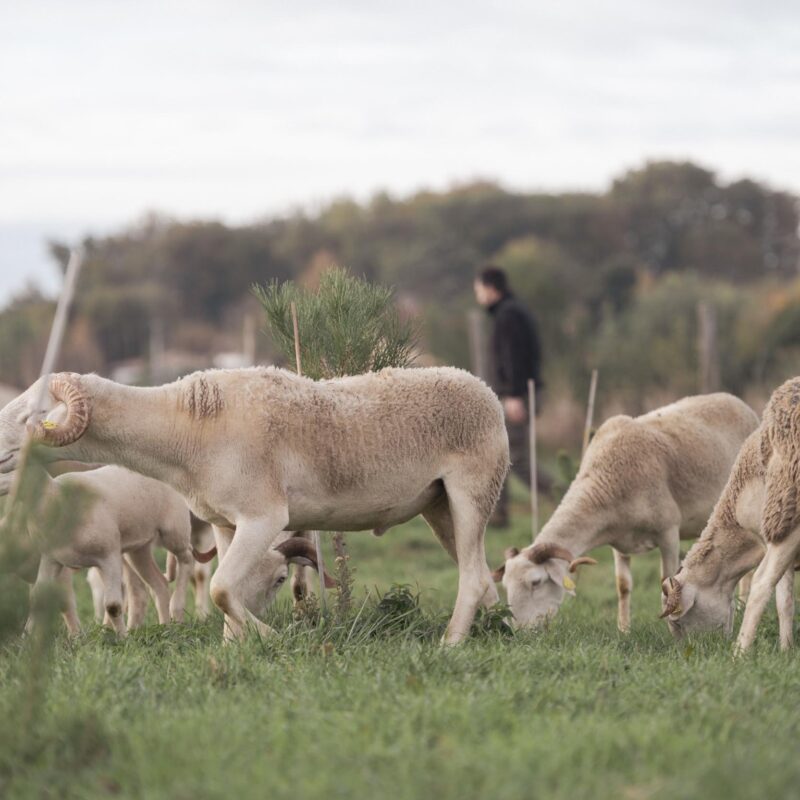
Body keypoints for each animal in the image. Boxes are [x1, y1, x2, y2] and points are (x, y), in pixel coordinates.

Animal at [0, 462, 198, 636]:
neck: (56, 498)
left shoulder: (109, 556)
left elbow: (113, 605)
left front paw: (123, 639)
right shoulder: (51, 559)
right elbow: (37, 599)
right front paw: (26, 639)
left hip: (174, 529)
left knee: (187, 558)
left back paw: (177, 610)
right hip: (138, 548)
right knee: (159, 584)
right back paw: (166, 629)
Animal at [490, 394, 760, 632]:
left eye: (536, 582)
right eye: (505, 585)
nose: (520, 631)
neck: (607, 477)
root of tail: (735, 400)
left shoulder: (668, 532)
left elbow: (666, 579)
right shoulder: (619, 542)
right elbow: (623, 586)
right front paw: (624, 629)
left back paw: (742, 606)